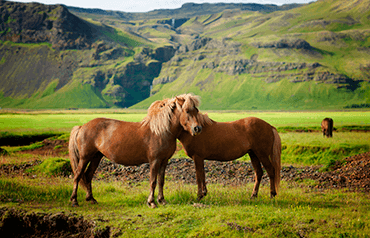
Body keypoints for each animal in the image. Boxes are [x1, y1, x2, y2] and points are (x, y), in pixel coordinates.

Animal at [67, 94, 204, 207]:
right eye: (187, 111)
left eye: (196, 110)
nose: (197, 128)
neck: (161, 131)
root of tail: (82, 126)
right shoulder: (154, 161)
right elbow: (153, 181)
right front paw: (151, 202)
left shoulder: (164, 161)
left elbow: (161, 181)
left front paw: (162, 200)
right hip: (85, 157)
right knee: (78, 175)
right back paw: (74, 201)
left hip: (96, 157)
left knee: (88, 175)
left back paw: (91, 199)